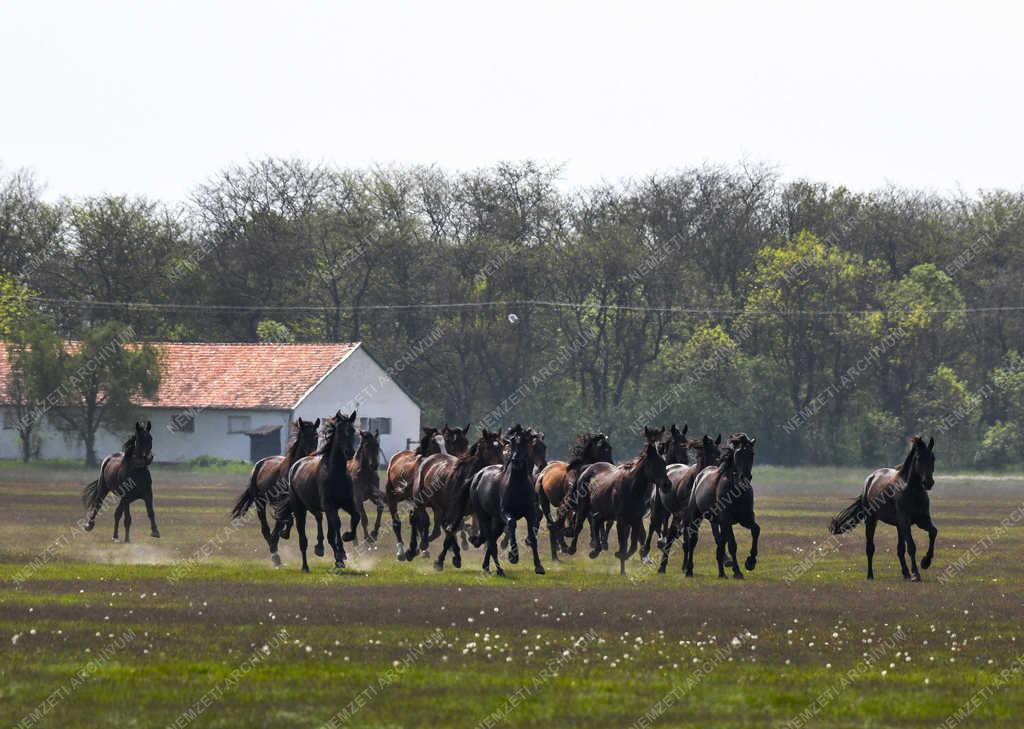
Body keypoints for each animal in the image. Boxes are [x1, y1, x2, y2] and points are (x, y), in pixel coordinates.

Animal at [230, 415, 317, 565]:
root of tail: (259, 464)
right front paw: (282, 536)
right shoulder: (283, 503)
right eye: (304, 436)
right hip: (260, 502)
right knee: (265, 528)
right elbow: (284, 521)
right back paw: (275, 555)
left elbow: (284, 521)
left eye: (317, 436)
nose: (311, 455)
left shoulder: (290, 504)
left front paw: (283, 534)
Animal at [385, 427, 442, 556]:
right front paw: (419, 547)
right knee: (396, 523)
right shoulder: (419, 502)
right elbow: (423, 522)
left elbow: (433, 529)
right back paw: (401, 551)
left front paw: (422, 548)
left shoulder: (433, 506)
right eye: (434, 443)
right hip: (392, 498)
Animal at [573, 427, 667, 573]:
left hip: (605, 511)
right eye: (654, 464)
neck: (633, 489)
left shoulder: (635, 518)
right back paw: (571, 548)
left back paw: (596, 550)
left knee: (597, 520)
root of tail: (588, 468)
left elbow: (636, 541)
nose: (667, 484)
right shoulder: (622, 519)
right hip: (584, 506)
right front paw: (623, 564)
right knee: (580, 524)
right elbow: (624, 543)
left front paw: (639, 557)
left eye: (664, 462)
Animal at [679, 432, 761, 581]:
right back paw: (689, 570)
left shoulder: (746, 519)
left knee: (720, 545)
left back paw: (722, 573)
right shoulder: (727, 521)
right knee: (693, 541)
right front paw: (738, 571)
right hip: (696, 517)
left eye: (751, 453)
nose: (745, 477)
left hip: (719, 522)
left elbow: (756, 530)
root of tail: (701, 474)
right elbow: (732, 545)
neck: (735, 492)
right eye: (738, 453)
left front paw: (750, 562)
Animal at [827, 432, 937, 581]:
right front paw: (916, 573)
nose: (928, 482)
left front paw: (925, 562)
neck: (911, 490)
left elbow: (933, 532)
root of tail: (870, 478)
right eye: (919, 458)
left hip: (898, 526)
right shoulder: (905, 521)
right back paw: (870, 575)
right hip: (871, 521)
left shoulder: (922, 520)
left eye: (933, 458)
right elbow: (912, 546)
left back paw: (905, 573)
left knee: (900, 549)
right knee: (870, 548)